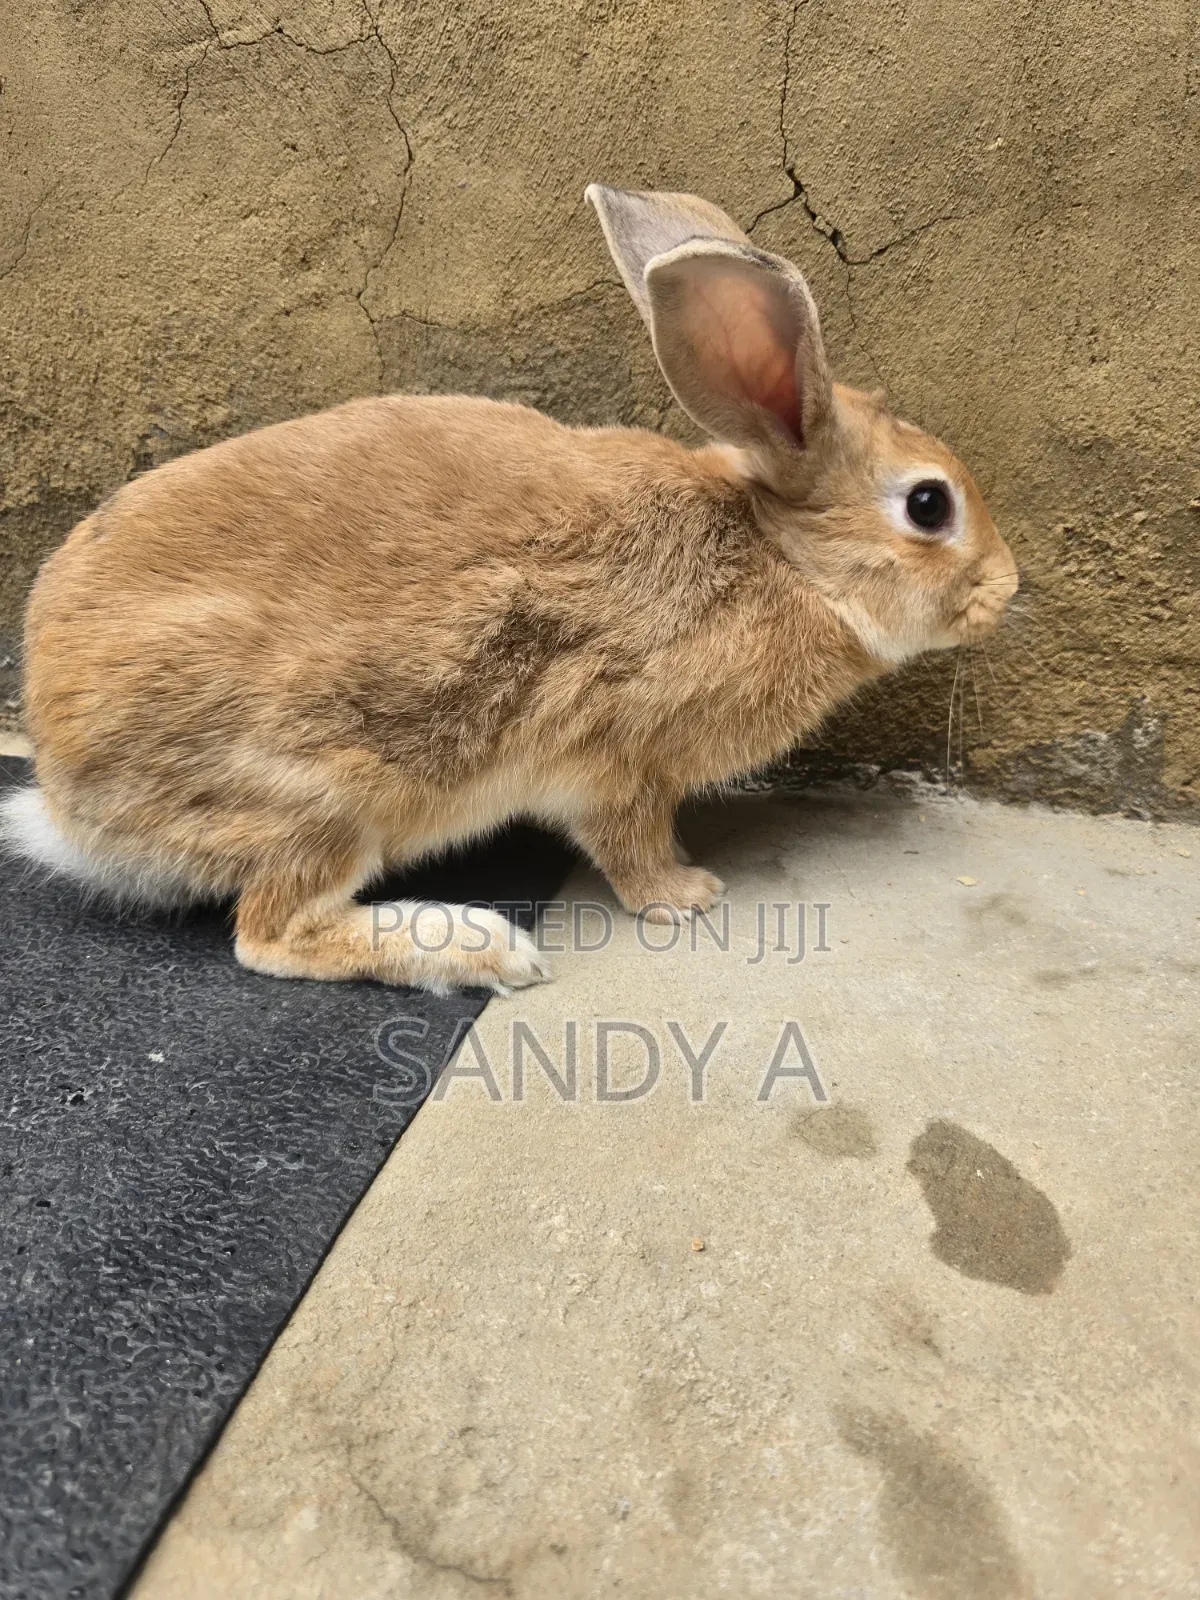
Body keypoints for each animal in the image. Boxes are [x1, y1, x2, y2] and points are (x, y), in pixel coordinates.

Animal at [2, 185, 1018, 993]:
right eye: (930, 505)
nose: (1006, 587)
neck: (786, 560)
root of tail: (69, 805)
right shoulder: (616, 759)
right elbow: (629, 843)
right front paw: (686, 895)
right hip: (323, 794)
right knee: (270, 932)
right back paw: (481, 949)